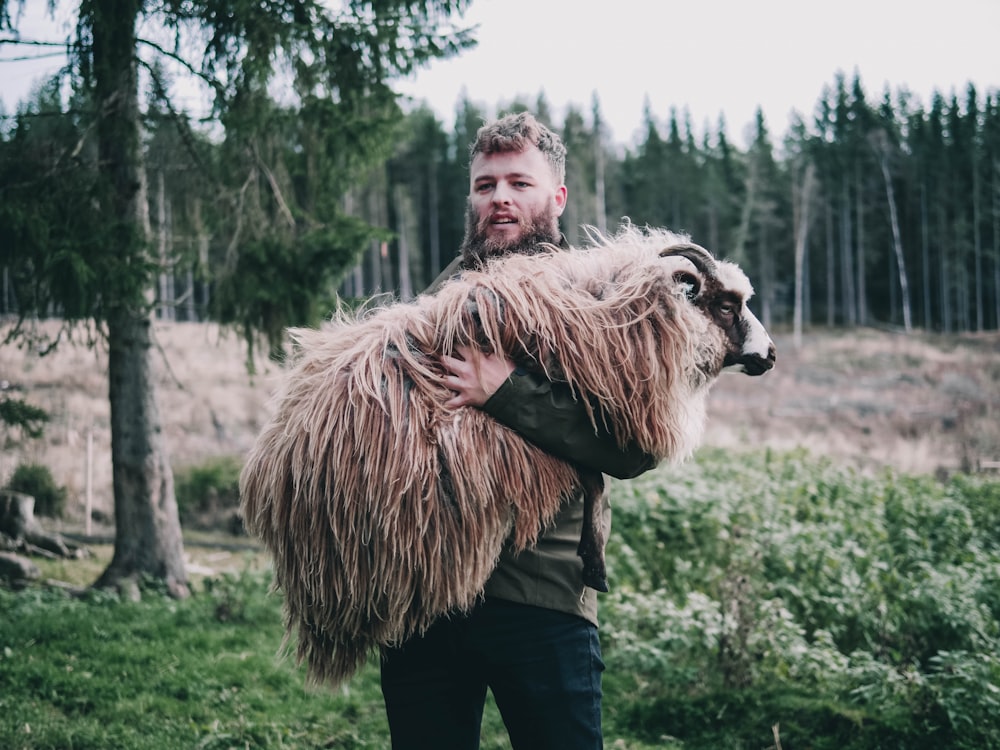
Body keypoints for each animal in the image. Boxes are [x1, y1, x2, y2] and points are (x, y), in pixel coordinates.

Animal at [240, 223, 772, 688]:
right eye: (727, 305)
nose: (769, 355)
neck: (611, 304)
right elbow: (592, 476)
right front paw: (593, 559)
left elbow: (594, 470)